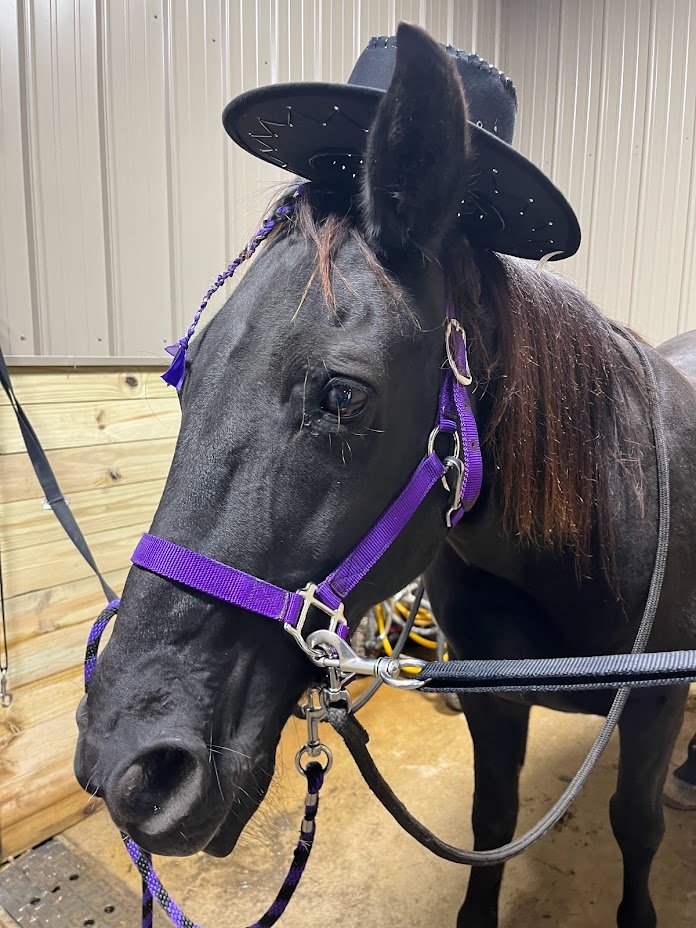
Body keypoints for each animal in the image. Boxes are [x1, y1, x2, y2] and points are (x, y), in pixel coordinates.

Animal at [74, 24, 696, 928]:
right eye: (184, 376)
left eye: (342, 394)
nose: (127, 764)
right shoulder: (491, 705)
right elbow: (491, 820)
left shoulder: (654, 704)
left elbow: (636, 826)